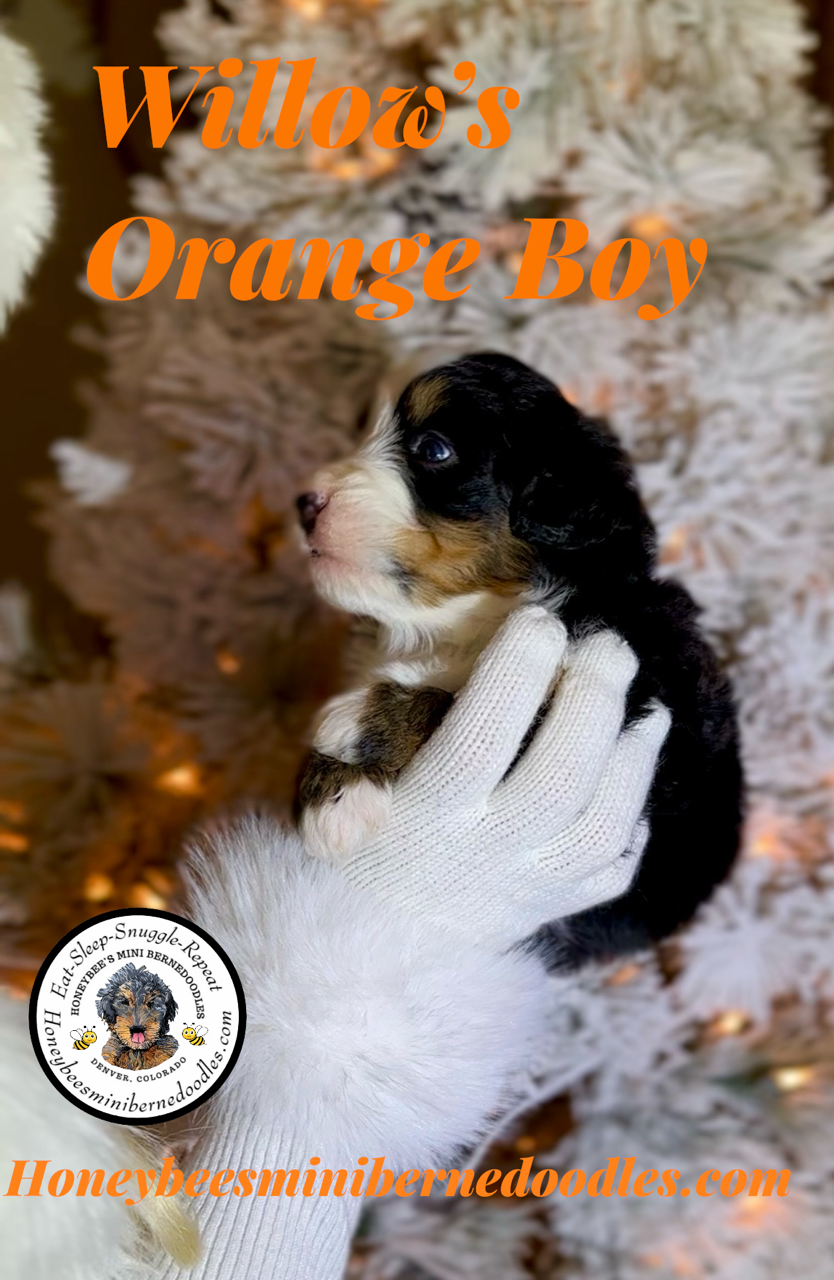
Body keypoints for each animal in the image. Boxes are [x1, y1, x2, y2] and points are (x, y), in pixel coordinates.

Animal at [295, 352, 744, 968]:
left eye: (433, 449)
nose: (303, 502)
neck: (468, 626)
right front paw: (331, 795)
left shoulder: (651, 709)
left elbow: (481, 709)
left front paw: (355, 722)